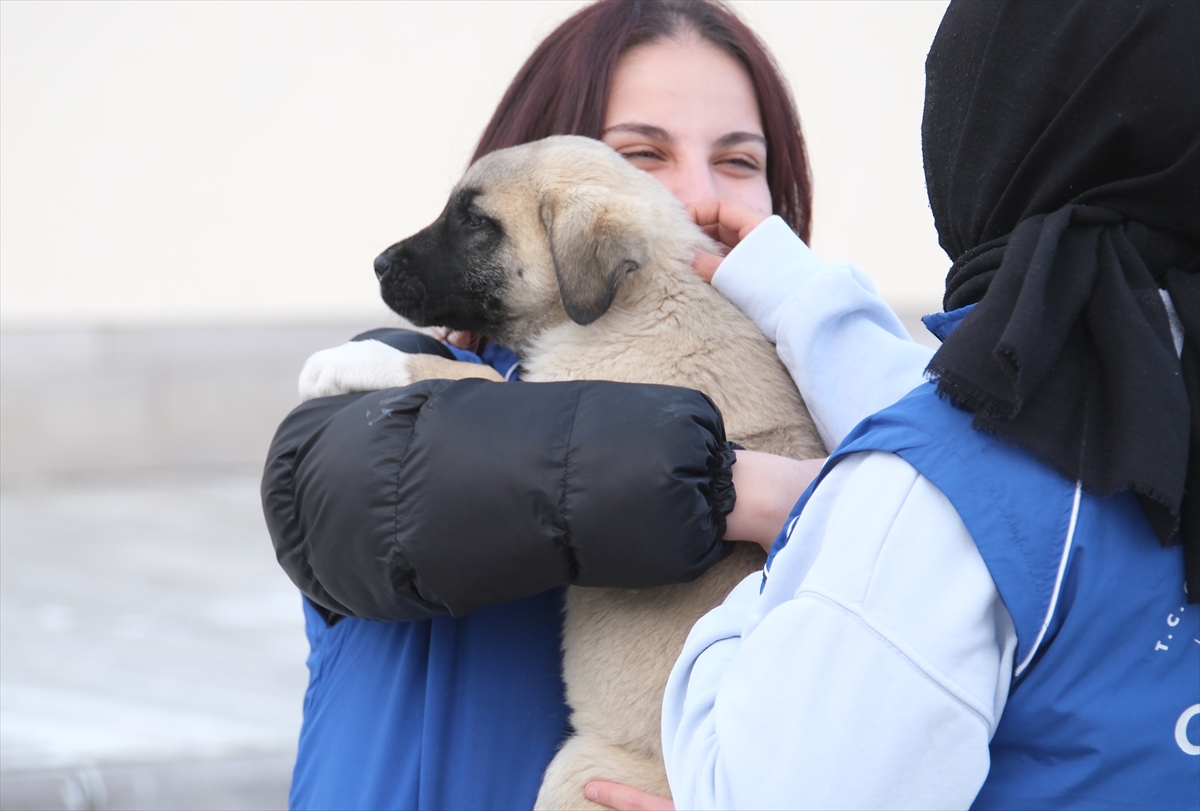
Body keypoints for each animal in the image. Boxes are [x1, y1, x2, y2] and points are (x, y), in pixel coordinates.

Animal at [300, 136, 825, 806]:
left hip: (578, 769)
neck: (641, 295)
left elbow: (464, 373)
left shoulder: (553, 396)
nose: (377, 263)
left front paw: (350, 360)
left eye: (477, 223)